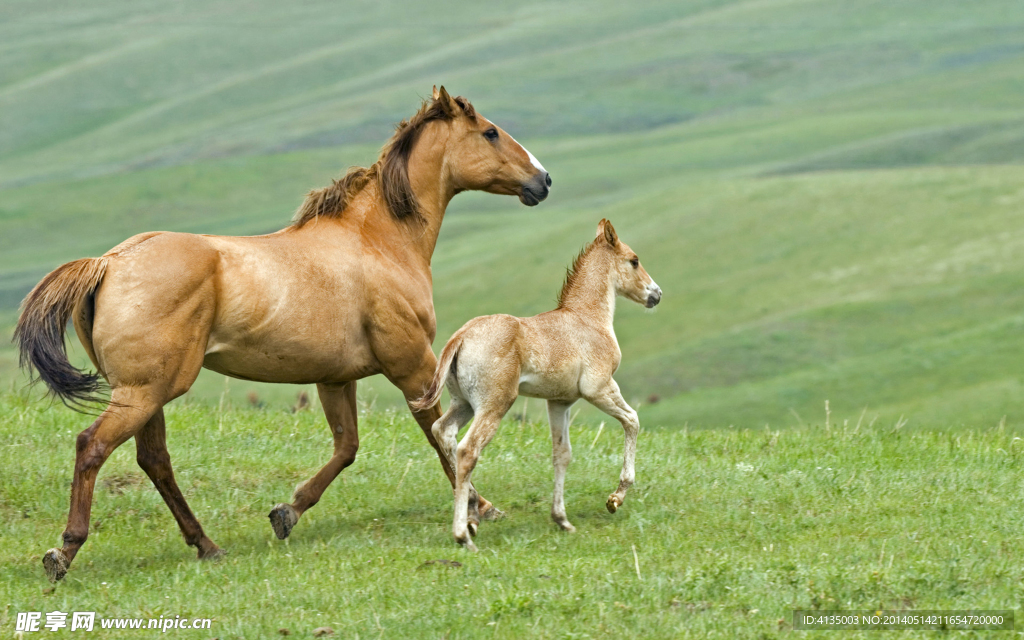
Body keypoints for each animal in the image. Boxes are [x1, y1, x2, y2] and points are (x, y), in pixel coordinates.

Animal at [14, 86, 551, 582]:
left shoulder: (336, 378)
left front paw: (287, 513)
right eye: (490, 132)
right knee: (93, 447)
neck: (379, 241)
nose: (543, 180)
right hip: (145, 391)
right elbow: (440, 436)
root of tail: (108, 262)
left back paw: (206, 545)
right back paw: (64, 552)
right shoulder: (412, 365)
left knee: (154, 460)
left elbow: (347, 448)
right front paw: (481, 509)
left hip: (147, 391)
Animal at [412, 219, 661, 551]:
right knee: (467, 450)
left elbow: (562, 454)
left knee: (443, 431)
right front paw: (616, 498)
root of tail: (461, 337)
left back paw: (474, 514)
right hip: (494, 405)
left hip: (463, 404)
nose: (656, 294)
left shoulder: (559, 402)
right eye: (634, 260)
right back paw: (463, 534)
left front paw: (562, 520)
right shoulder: (599, 389)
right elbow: (632, 420)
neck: (587, 319)